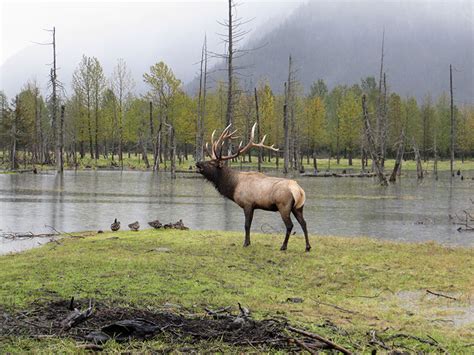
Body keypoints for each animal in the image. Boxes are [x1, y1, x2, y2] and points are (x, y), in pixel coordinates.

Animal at [196, 124, 312, 252]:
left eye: (212, 163)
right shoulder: (253, 206)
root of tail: (299, 191)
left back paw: (283, 246)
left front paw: (246, 243)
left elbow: (247, 225)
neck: (233, 185)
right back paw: (307, 247)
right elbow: (249, 225)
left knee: (290, 225)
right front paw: (248, 242)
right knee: (304, 223)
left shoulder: (248, 204)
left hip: (284, 206)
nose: (197, 163)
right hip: (298, 207)